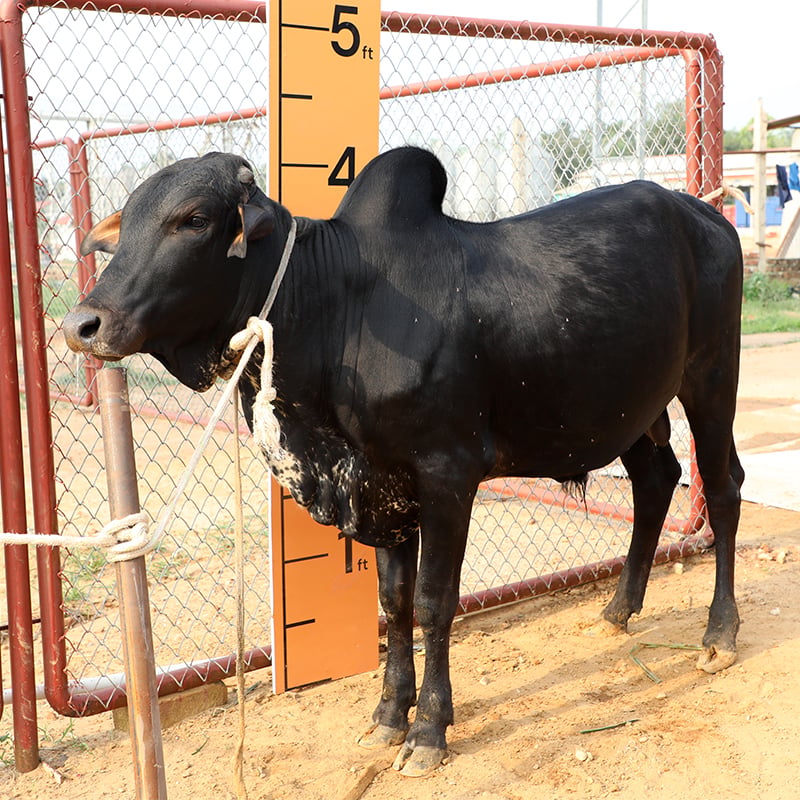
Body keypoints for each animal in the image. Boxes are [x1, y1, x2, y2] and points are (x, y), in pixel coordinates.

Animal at [63, 147, 744, 777]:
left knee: (724, 488)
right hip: (633, 406)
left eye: (195, 219)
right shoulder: (383, 486)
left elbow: (434, 600)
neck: (336, 308)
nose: (83, 324)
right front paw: (390, 715)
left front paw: (429, 731)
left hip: (711, 379)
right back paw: (618, 610)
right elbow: (393, 603)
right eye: (127, 223)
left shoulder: (447, 474)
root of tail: (703, 213)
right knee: (656, 482)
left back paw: (719, 634)